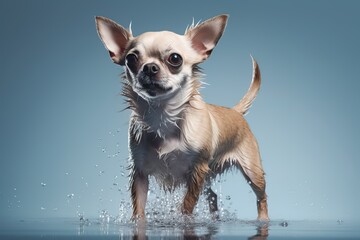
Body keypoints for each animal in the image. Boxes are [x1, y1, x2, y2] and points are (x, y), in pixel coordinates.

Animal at [94, 14, 268, 221]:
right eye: (131, 58)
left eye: (175, 59)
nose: (149, 67)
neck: (163, 116)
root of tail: (235, 111)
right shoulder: (139, 172)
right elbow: (139, 207)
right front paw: (138, 222)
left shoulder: (197, 170)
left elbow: (187, 204)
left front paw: (185, 221)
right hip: (208, 178)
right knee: (213, 195)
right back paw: (214, 218)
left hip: (252, 172)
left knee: (262, 197)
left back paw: (263, 219)